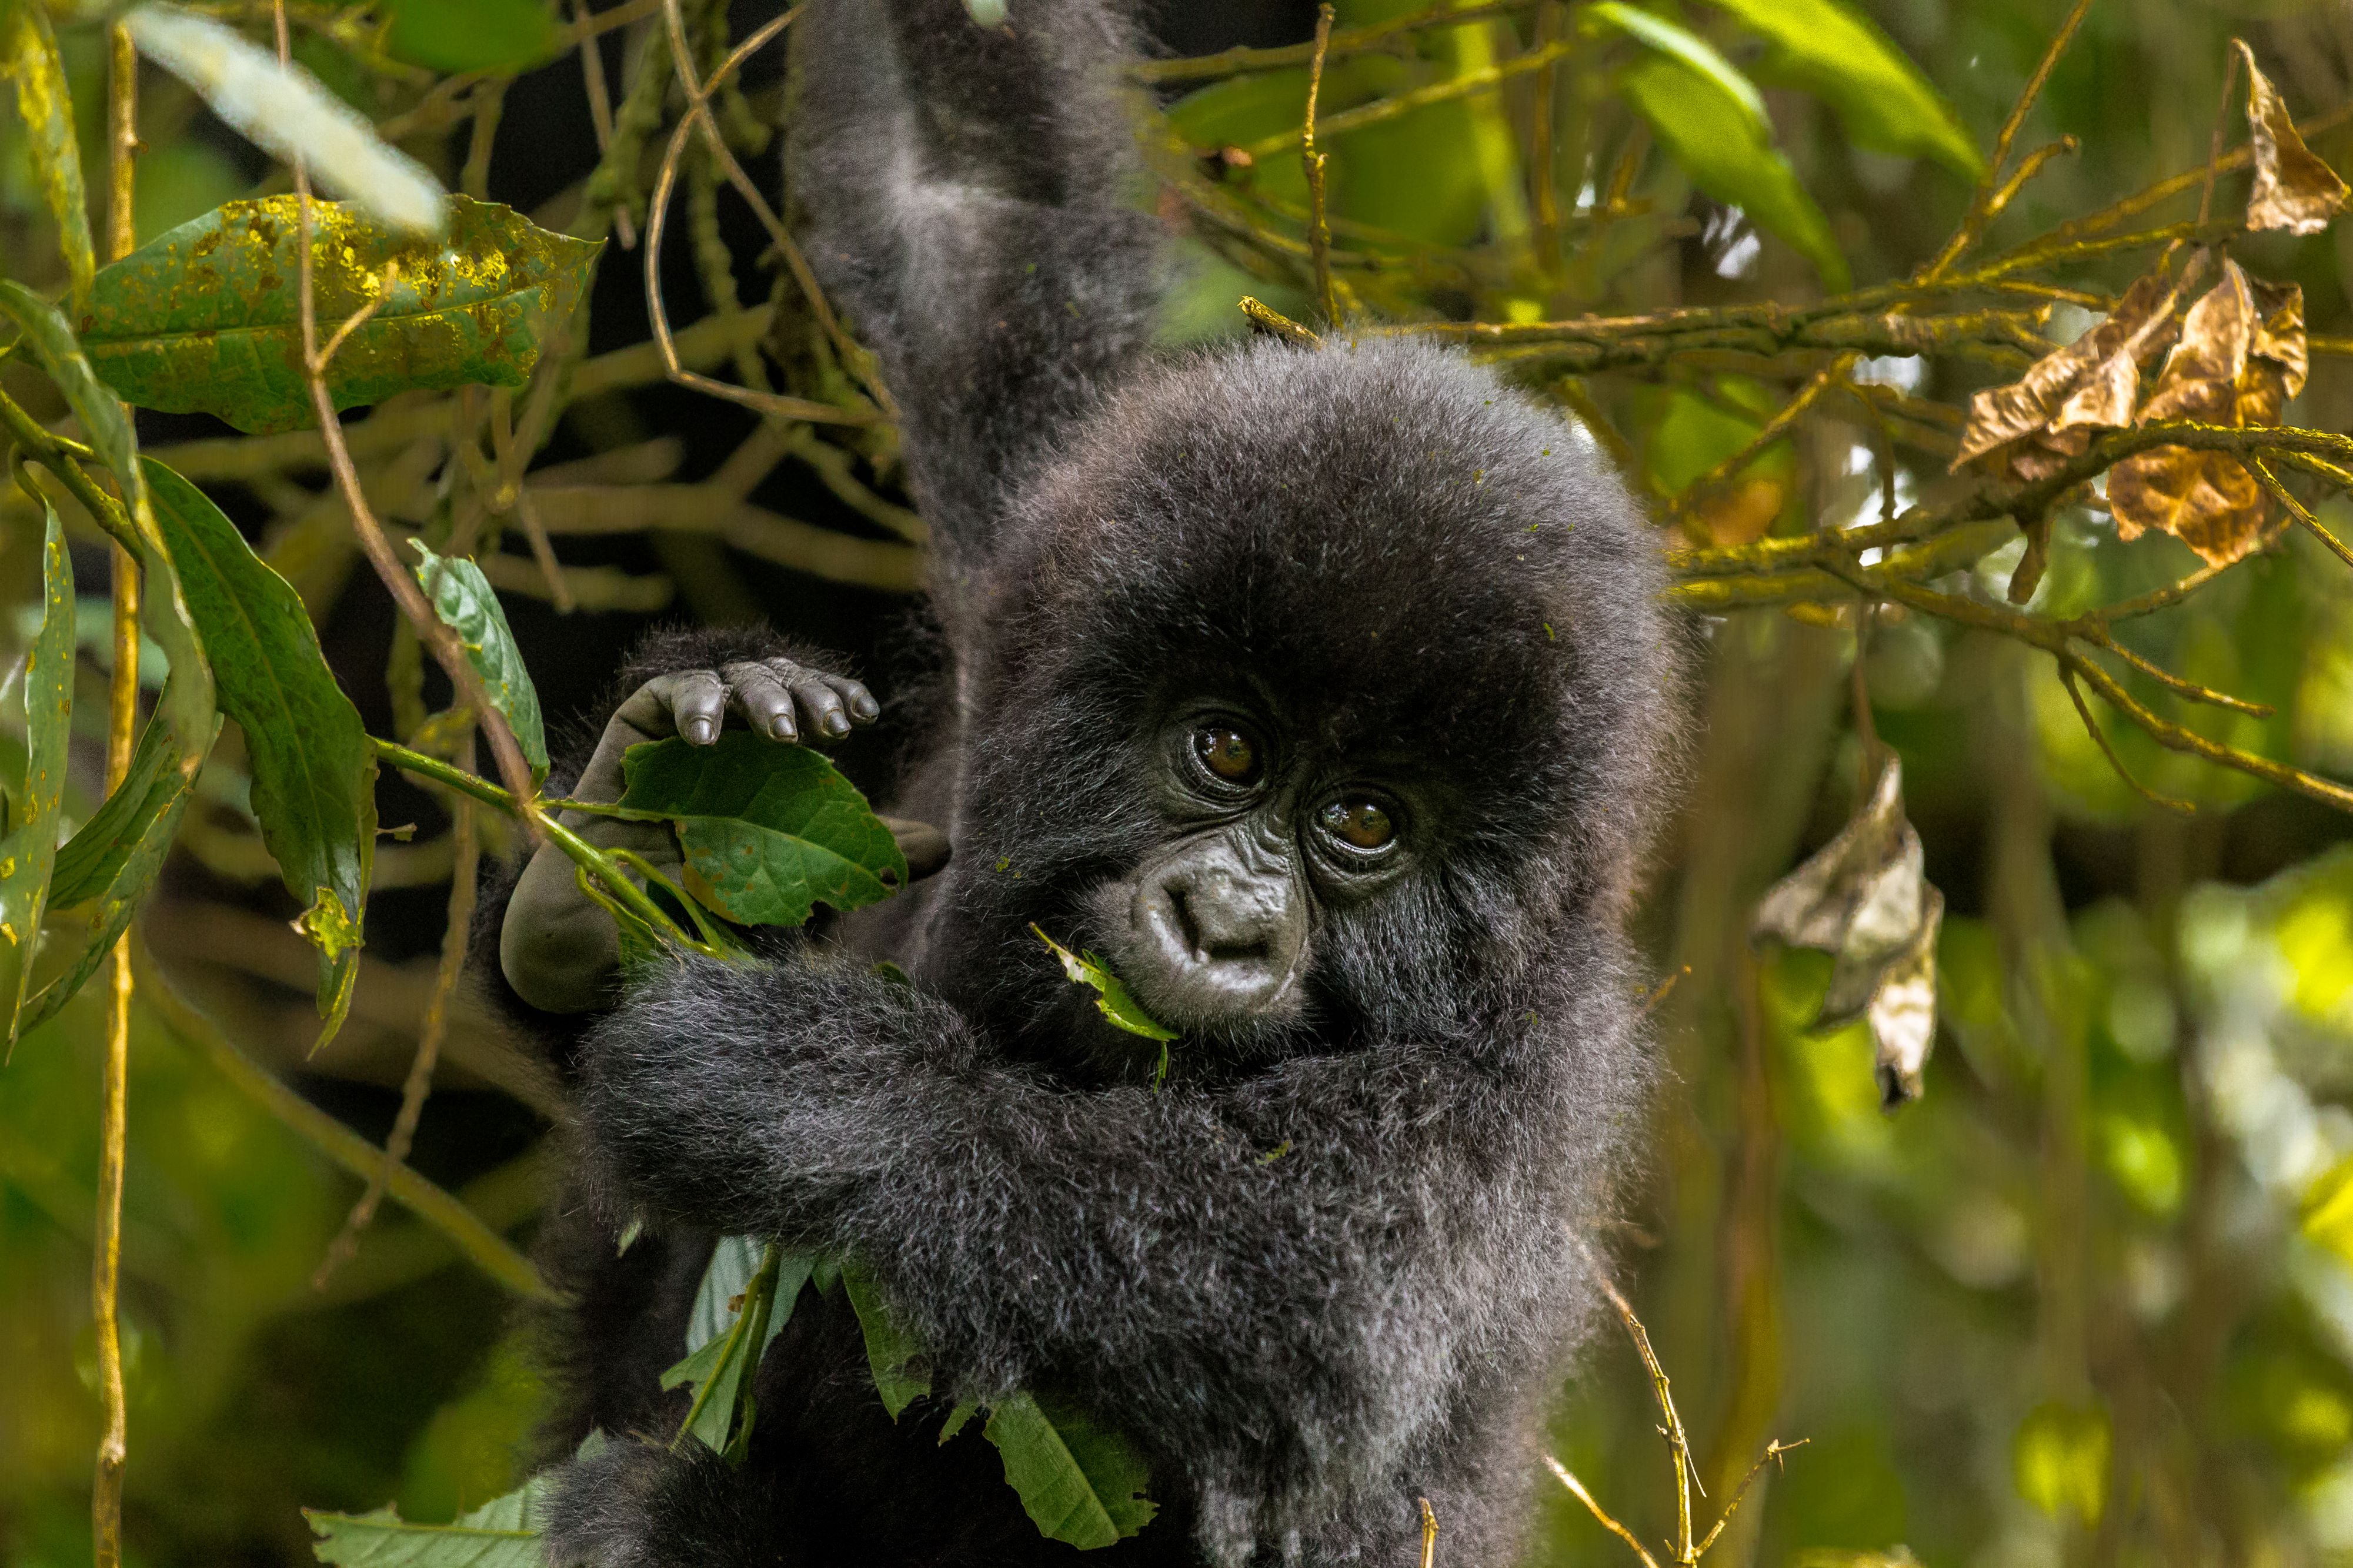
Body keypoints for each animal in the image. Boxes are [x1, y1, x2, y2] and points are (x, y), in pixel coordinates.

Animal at [485, 0, 1687, 1563]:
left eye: (1363, 822)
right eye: (1226, 748)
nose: (1224, 925)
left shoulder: (1527, 1071)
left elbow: (1301, 1302)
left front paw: (794, 1087)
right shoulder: (1058, 512)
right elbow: (972, 192)